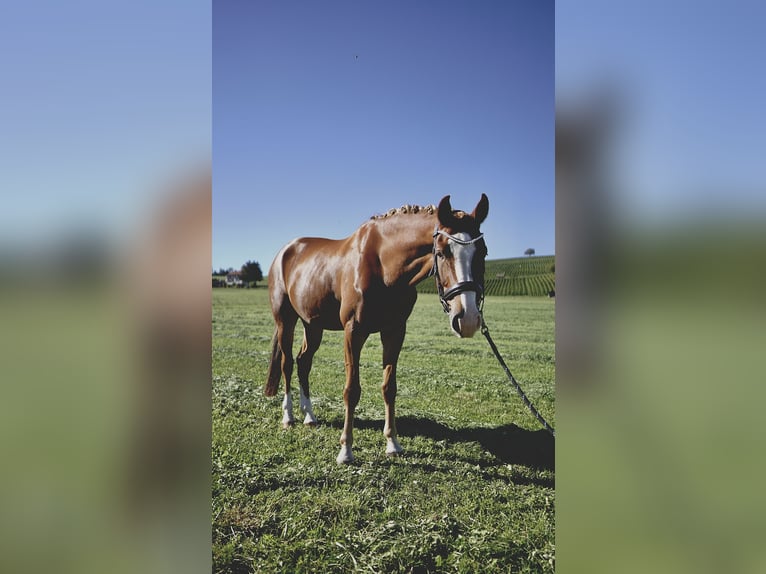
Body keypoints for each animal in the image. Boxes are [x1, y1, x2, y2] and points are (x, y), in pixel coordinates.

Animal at [264, 196, 492, 466]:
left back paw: (309, 415)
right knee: (287, 363)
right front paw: (346, 450)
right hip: (285, 321)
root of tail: (285, 252)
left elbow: (389, 388)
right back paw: (288, 417)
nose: (467, 318)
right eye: (441, 252)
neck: (382, 265)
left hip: (313, 324)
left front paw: (393, 444)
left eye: (483, 252)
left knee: (303, 362)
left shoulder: (395, 331)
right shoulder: (353, 331)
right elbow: (351, 390)